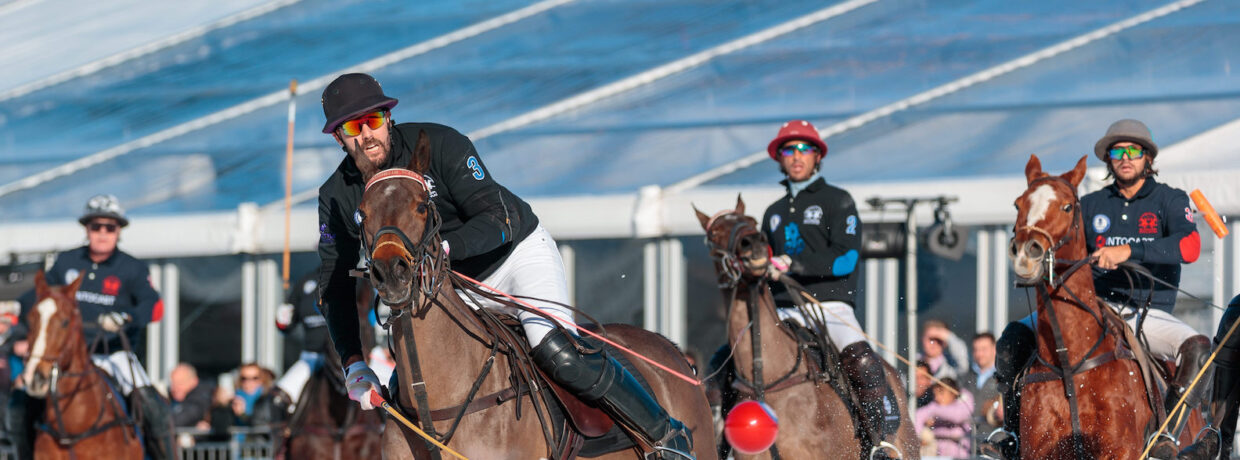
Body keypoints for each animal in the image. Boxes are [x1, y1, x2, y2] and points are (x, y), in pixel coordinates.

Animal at [349, 130, 719, 460]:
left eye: (423, 206)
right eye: (361, 213)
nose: (391, 272)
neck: (440, 403)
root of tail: (672, 350)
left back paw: (672, 440)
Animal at [1006, 155, 1200, 460]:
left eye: (1067, 206)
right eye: (1018, 204)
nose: (1026, 253)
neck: (1070, 364)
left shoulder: (1119, 450)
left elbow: (1187, 239)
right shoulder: (1038, 450)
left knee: (1195, 346)